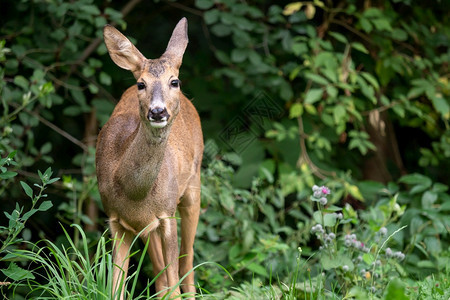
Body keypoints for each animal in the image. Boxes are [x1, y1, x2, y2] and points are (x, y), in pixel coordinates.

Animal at [96, 17, 204, 298]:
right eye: (141, 84)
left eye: (174, 81)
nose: (157, 111)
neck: (134, 193)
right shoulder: (116, 221)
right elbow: (116, 288)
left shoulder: (167, 215)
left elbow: (175, 282)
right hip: (146, 229)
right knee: (160, 275)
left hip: (193, 186)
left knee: (186, 263)